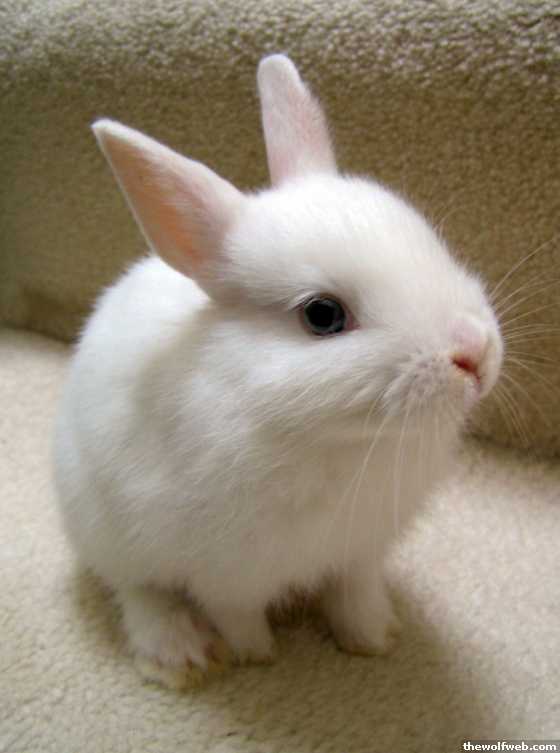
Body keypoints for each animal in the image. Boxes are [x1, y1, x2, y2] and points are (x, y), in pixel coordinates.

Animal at [53, 54, 503, 689]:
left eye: (427, 240)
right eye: (323, 315)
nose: (475, 354)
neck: (338, 442)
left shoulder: (359, 553)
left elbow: (354, 596)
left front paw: (376, 640)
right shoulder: (225, 571)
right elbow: (236, 614)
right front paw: (255, 656)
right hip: (103, 527)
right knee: (137, 591)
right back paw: (181, 658)